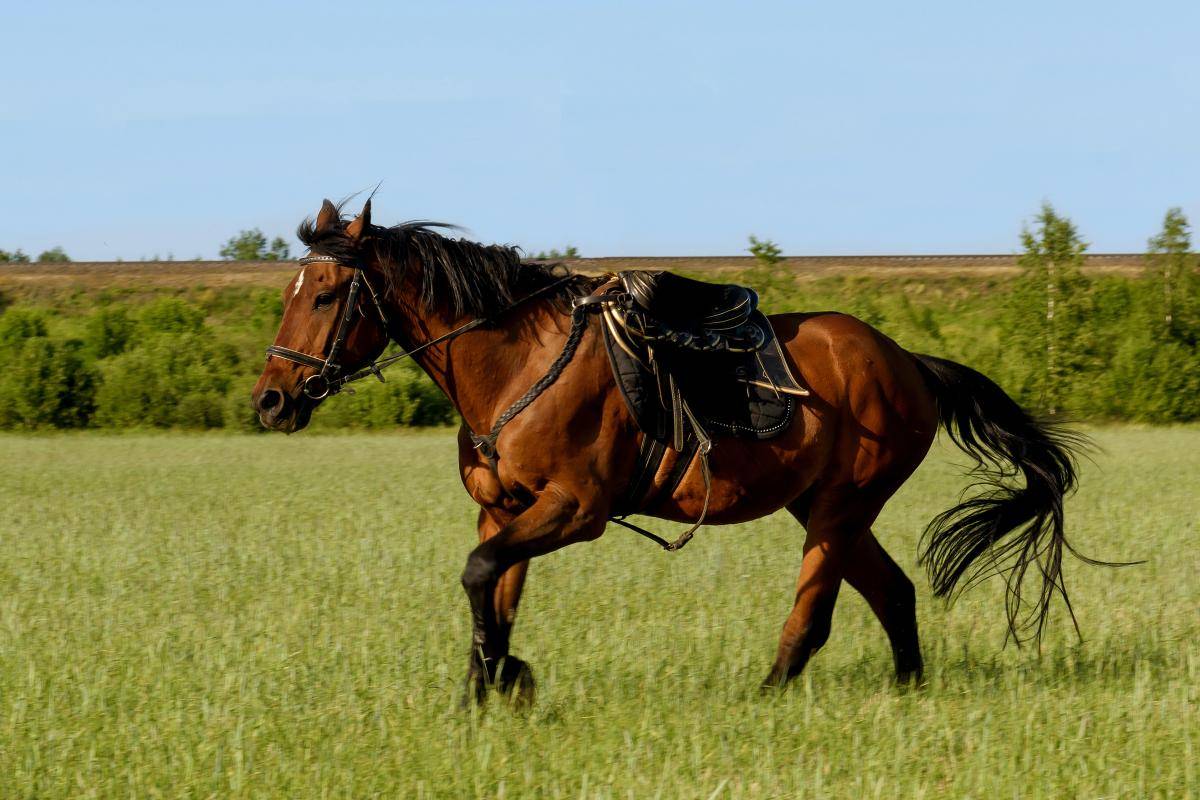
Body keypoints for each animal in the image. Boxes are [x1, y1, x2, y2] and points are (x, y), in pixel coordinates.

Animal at [253, 199, 1099, 700]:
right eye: (292, 293)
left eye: (324, 295)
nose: (271, 400)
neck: (516, 363)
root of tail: (909, 362)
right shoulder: (505, 512)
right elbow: (492, 587)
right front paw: (485, 689)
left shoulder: (575, 510)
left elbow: (481, 578)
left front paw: (507, 678)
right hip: (824, 507)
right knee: (892, 592)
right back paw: (907, 691)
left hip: (839, 508)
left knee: (815, 612)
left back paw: (768, 694)